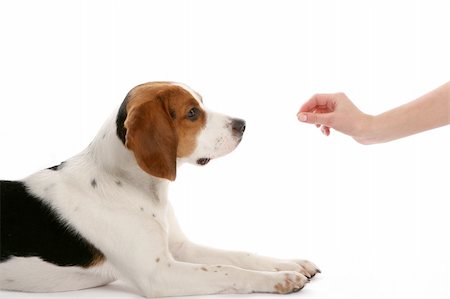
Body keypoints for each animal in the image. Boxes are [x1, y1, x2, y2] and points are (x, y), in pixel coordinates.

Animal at [0, 82, 320, 298]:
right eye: (192, 112)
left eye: (202, 102)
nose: (242, 124)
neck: (135, 188)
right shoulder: (159, 274)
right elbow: (228, 269)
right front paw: (280, 279)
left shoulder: (181, 248)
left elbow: (239, 256)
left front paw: (289, 264)